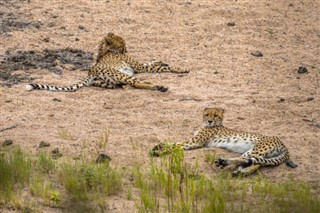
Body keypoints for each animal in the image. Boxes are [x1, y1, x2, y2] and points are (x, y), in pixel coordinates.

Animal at [27, 32, 189, 92]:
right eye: (122, 45)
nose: (125, 50)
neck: (105, 51)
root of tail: (90, 72)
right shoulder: (139, 67)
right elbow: (157, 67)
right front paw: (181, 68)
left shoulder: (139, 66)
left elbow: (151, 62)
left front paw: (161, 61)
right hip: (121, 75)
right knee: (136, 82)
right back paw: (159, 86)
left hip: (108, 83)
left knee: (129, 84)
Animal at [151, 107, 298, 176]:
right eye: (207, 114)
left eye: (215, 115)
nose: (210, 121)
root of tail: (283, 144)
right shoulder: (194, 141)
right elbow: (175, 143)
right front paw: (159, 146)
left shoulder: (195, 142)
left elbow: (177, 144)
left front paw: (159, 150)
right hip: (254, 152)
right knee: (252, 163)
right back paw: (237, 171)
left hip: (257, 150)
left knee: (250, 162)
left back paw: (226, 164)